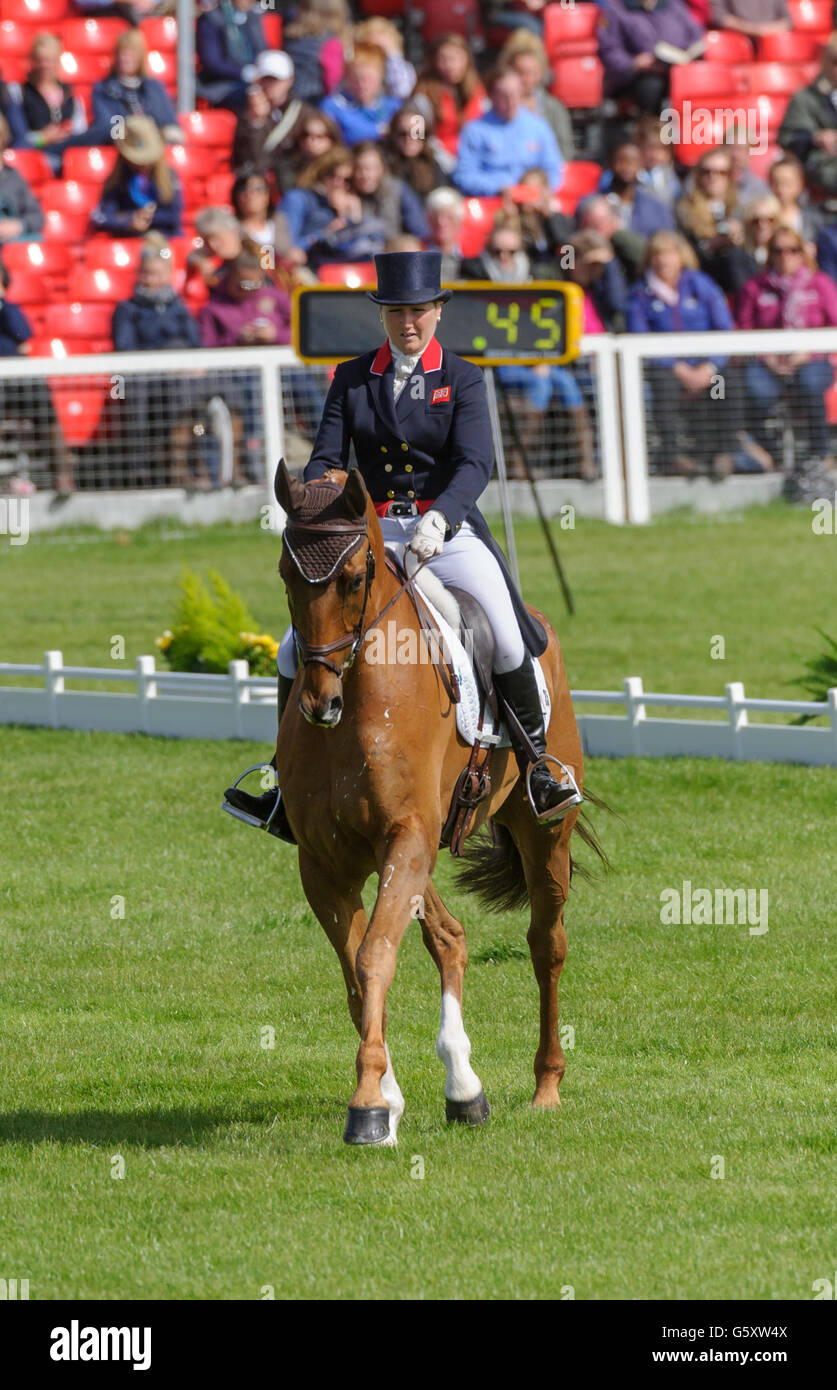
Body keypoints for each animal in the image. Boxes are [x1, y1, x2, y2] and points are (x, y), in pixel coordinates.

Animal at [271, 461, 595, 1145]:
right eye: (286, 574)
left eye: (355, 577)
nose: (319, 704)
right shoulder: (327, 862)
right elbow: (357, 972)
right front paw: (387, 1099)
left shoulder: (406, 838)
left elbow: (373, 959)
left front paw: (368, 1105)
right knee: (450, 936)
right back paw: (464, 1089)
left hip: (540, 830)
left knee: (545, 944)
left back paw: (545, 1086)